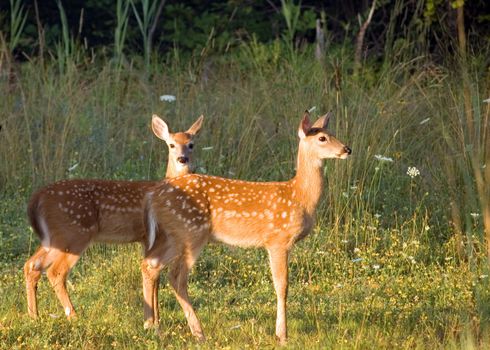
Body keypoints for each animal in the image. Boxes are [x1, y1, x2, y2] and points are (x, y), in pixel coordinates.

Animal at [22, 113, 203, 322]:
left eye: (191, 144)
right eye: (172, 145)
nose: (183, 159)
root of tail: (36, 198)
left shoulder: (146, 239)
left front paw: (156, 318)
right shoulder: (156, 236)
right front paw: (154, 320)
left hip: (53, 238)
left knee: (31, 265)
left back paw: (34, 316)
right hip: (74, 234)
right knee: (55, 271)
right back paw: (74, 316)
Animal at [142, 110, 352, 344]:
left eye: (332, 133)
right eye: (322, 138)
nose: (346, 149)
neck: (299, 196)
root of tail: (153, 195)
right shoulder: (278, 240)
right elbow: (282, 286)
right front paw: (282, 335)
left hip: (175, 235)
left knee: (151, 265)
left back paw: (153, 326)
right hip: (191, 232)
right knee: (176, 276)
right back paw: (197, 332)